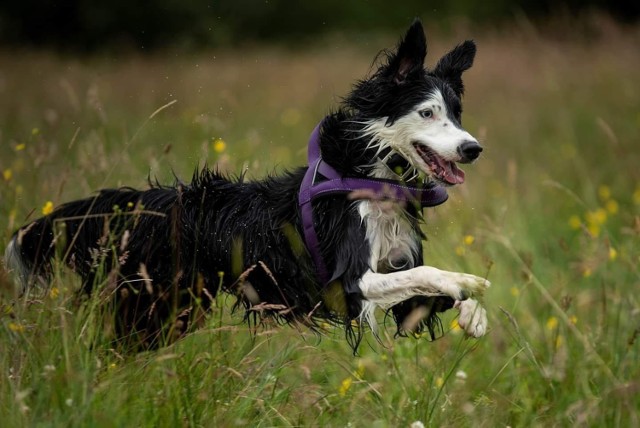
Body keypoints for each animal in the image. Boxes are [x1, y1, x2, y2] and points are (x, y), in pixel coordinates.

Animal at [3, 18, 490, 350]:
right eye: (427, 112)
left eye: (457, 112)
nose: (473, 148)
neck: (371, 178)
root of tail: (145, 204)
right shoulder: (349, 282)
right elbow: (430, 275)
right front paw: (463, 280)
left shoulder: (398, 281)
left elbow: (427, 289)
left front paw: (473, 313)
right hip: (152, 305)